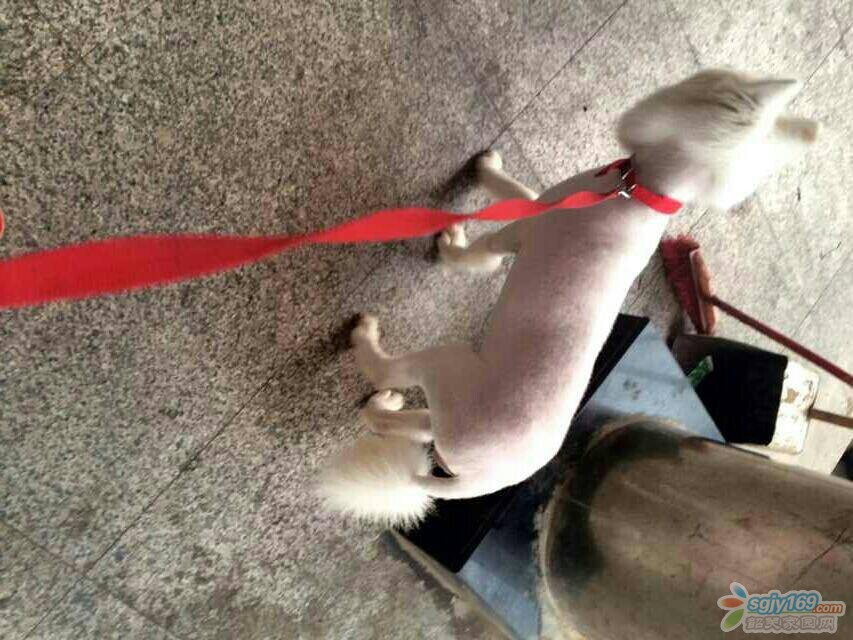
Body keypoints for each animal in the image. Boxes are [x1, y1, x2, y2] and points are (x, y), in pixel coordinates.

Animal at [317, 69, 819, 528]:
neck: (644, 193)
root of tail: (473, 483)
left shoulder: (526, 226)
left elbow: (487, 245)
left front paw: (460, 228)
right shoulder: (549, 201)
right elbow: (519, 191)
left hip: (451, 370)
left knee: (387, 381)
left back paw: (367, 346)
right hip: (450, 422)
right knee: (407, 426)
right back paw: (388, 406)